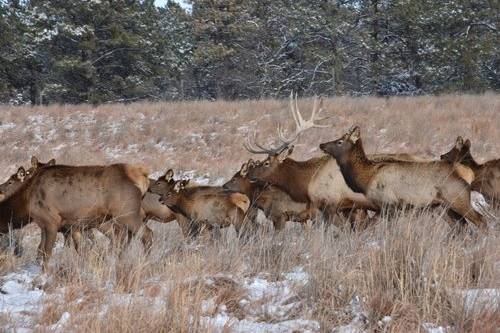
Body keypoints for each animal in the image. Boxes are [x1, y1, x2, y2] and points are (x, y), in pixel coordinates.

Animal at [0, 162, 152, 268]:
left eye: (10, 181)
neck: (26, 203)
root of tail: (143, 179)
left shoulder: (52, 220)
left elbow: (47, 252)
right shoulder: (45, 225)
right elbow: (41, 250)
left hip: (127, 213)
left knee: (147, 234)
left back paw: (146, 262)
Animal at [320, 125, 488, 231]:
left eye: (339, 141)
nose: (322, 144)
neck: (366, 178)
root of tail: (466, 174)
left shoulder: (389, 204)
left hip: (458, 199)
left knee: (481, 220)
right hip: (444, 207)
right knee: (462, 226)